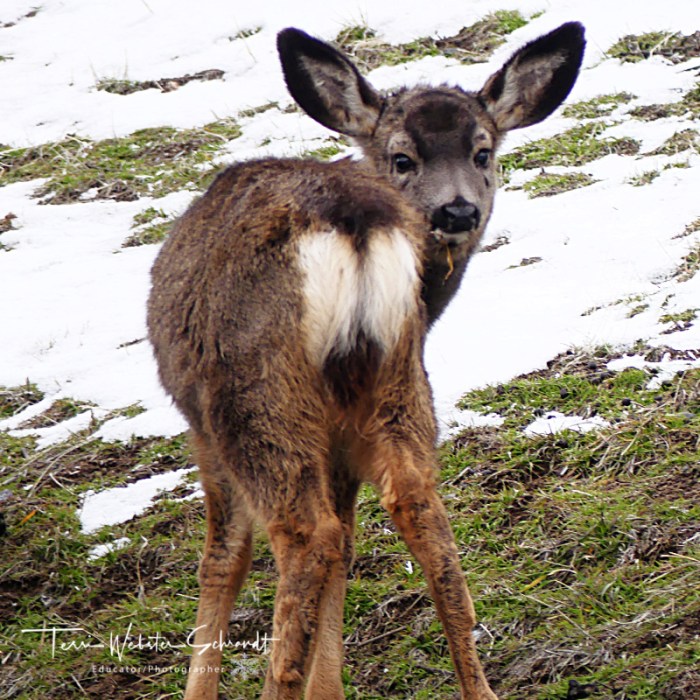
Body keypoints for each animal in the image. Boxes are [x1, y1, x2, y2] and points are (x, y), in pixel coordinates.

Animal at [147, 20, 585, 700]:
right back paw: (478, 686)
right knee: (415, 507)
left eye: (482, 152)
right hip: (397, 381)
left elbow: (223, 558)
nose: (457, 210)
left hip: (252, 397)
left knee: (306, 537)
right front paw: (329, 688)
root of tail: (352, 222)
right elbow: (352, 546)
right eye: (403, 158)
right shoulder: (344, 432)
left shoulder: (200, 425)